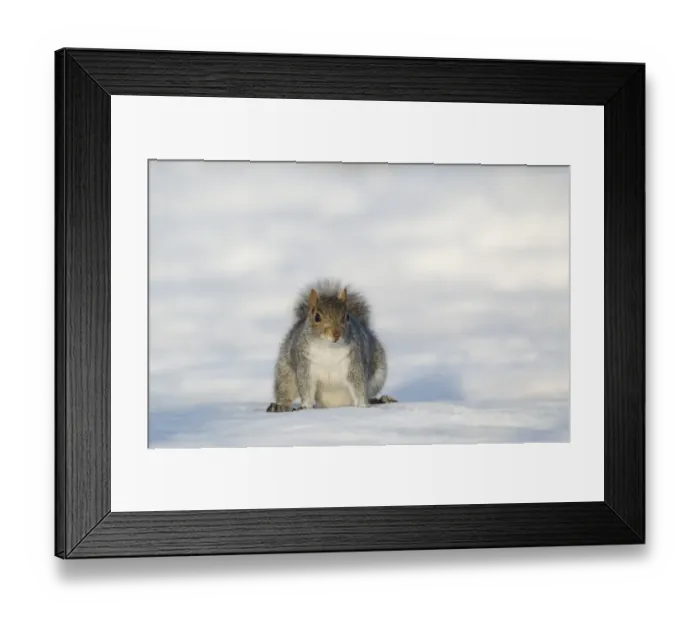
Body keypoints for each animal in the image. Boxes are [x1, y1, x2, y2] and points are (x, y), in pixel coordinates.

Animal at [266, 279, 397, 412]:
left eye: (347, 316)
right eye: (317, 317)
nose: (336, 333)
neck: (328, 348)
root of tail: (334, 405)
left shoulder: (354, 364)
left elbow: (359, 386)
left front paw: (362, 406)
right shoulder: (306, 366)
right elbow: (306, 389)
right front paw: (306, 407)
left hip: (378, 376)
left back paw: (382, 399)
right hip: (285, 373)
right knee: (285, 391)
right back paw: (280, 406)